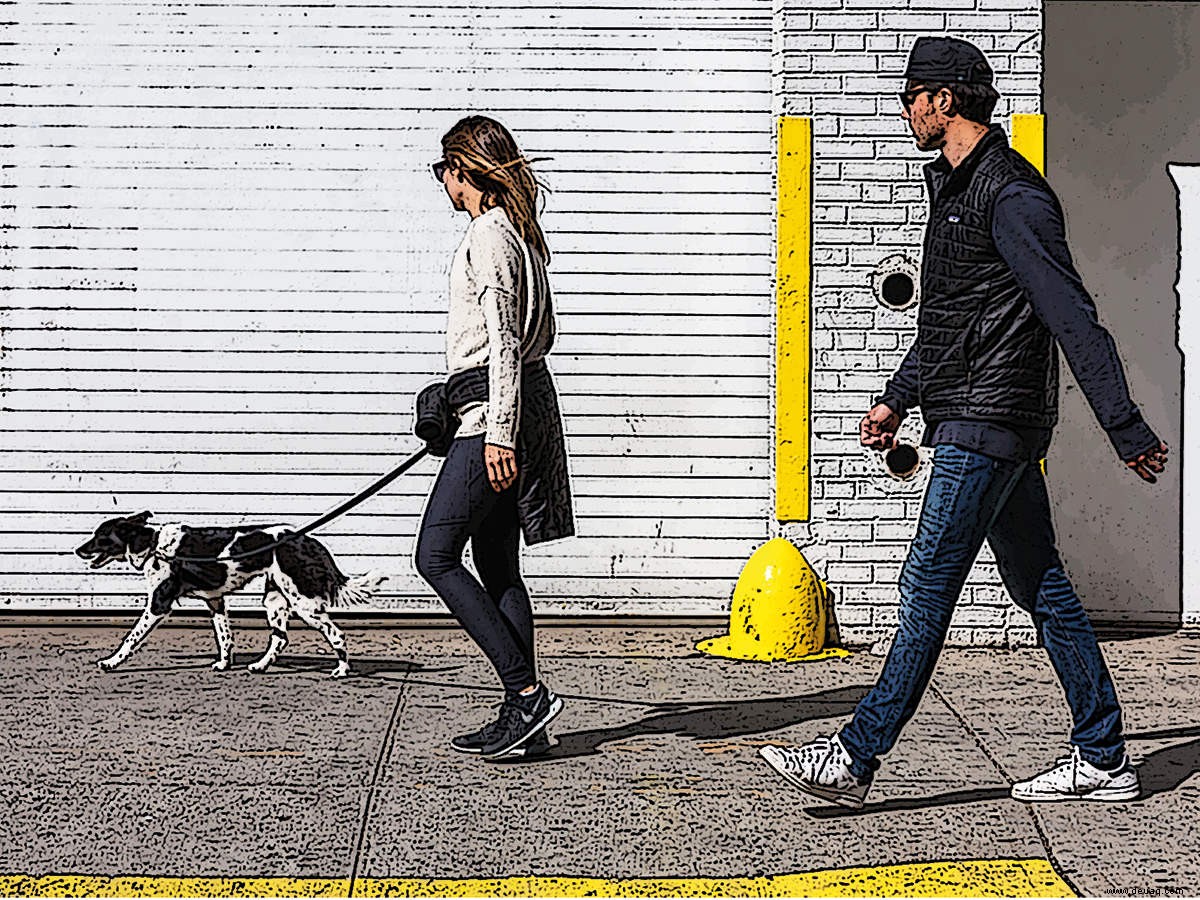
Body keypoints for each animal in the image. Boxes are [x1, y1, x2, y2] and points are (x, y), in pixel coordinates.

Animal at [76, 513, 384, 676]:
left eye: (99, 537)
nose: (77, 550)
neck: (152, 544)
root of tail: (306, 539)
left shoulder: (158, 603)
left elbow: (130, 638)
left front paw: (112, 662)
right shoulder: (215, 600)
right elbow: (225, 637)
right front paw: (224, 664)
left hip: (304, 603)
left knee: (336, 633)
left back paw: (342, 669)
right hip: (274, 599)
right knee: (280, 638)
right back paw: (260, 665)